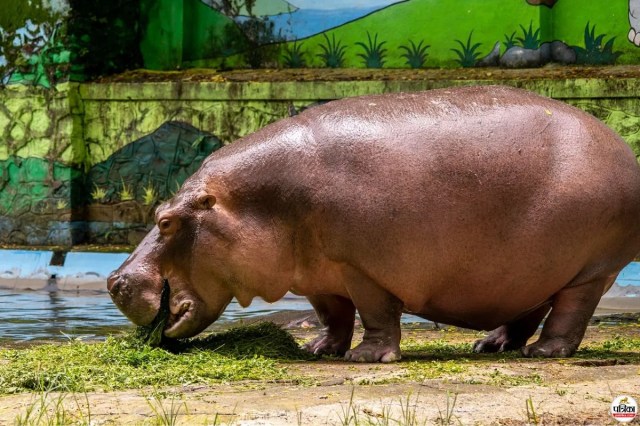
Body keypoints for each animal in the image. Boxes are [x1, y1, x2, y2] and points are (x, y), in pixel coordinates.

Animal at [108, 85, 640, 362]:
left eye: (167, 221)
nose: (115, 280)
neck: (253, 202)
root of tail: (618, 143)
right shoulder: (319, 275)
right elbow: (333, 314)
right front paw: (320, 349)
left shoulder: (361, 268)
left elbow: (376, 313)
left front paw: (364, 358)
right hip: (532, 269)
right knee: (529, 308)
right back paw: (490, 345)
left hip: (592, 268)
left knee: (569, 313)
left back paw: (544, 353)